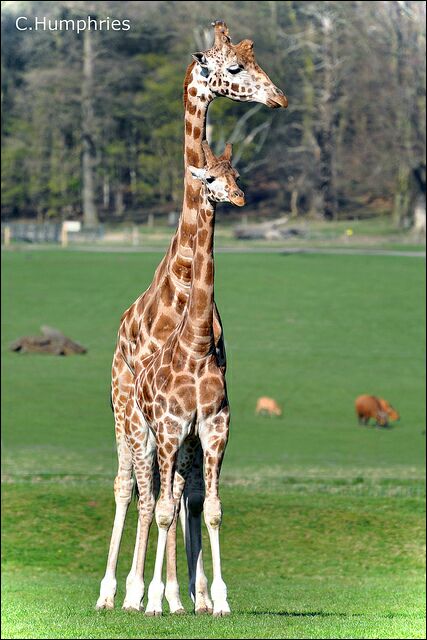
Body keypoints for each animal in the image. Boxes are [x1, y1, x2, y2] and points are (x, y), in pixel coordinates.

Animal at [97, 18, 288, 608]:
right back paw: (118, 591)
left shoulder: (204, 417)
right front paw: (151, 592)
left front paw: (196, 595)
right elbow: (158, 494)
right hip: (124, 410)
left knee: (173, 489)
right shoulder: (161, 417)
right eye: (233, 67)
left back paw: (179, 593)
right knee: (129, 486)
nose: (279, 96)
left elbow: (193, 496)